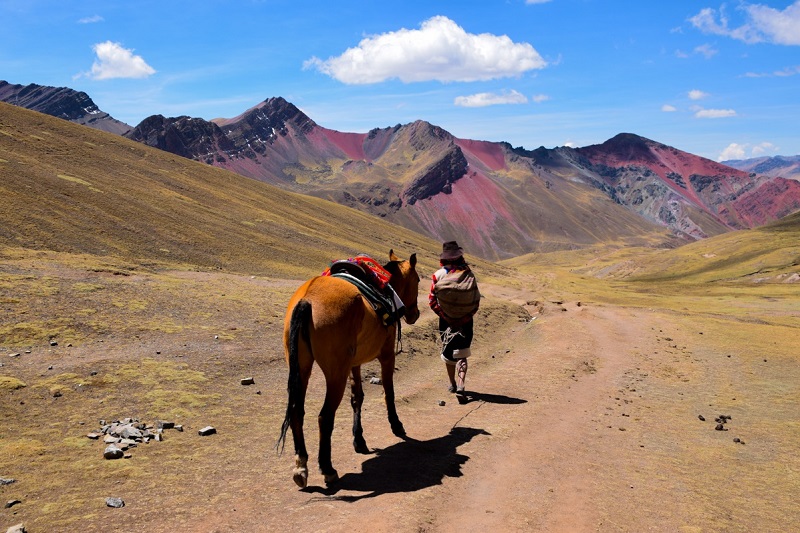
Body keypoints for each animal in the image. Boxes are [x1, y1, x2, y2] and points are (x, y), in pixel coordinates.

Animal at [278, 249, 422, 486]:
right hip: (336, 373)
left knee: (297, 411)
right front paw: (396, 425)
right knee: (325, 416)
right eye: (418, 280)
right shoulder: (387, 355)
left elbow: (357, 398)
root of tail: (307, 300)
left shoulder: (354, 363)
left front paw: (359, 440)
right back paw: (327, 468)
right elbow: (388, 392)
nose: (415, 314)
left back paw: (301, 466)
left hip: (302, 367)